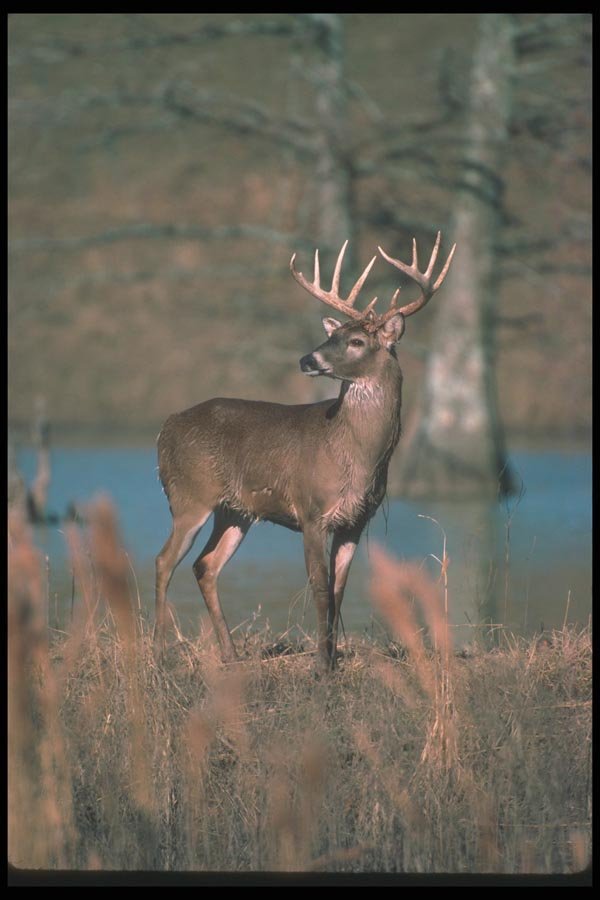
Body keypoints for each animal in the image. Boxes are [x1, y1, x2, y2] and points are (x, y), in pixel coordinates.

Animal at [154, 234, 456, 671]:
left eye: (356, 341)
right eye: (331, 336)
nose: (306, 358)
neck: (356, 456)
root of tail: (165, 428)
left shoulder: (355, 521)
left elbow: (339, 589)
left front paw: (332, 659)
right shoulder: (311, 510)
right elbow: (318, 588)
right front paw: (321, 667)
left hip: (235, 511)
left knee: (205, 565)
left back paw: (230, 655)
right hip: (189, 496)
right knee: (164, 561)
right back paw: (157, 652)